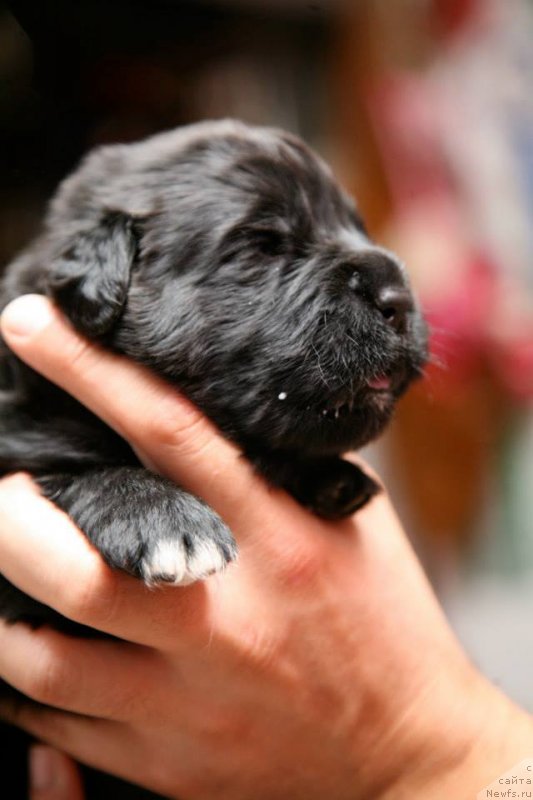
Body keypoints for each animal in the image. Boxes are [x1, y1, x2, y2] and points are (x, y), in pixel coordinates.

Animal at [0, 120, 424, 624]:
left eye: (357, 227)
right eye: (264, 245)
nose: (399, 299)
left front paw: (331, 478)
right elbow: (77, 465)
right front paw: (164, 517)